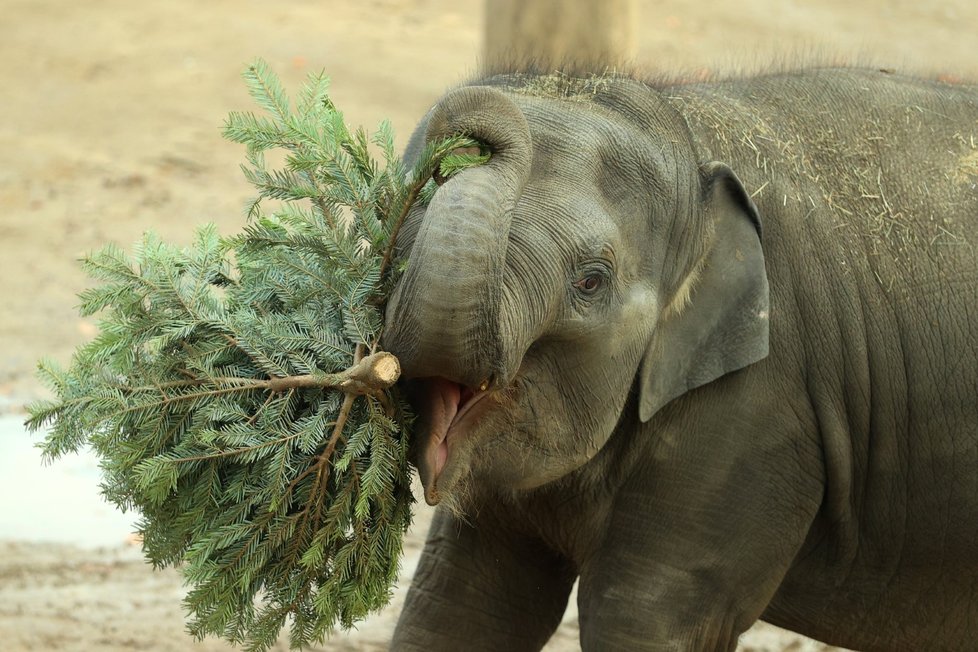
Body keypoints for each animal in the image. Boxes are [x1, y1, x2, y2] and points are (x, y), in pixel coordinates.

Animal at [380, 67, 976, 652]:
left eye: (590, 282)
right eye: (392, 240)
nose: (472, 131)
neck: (691, 142)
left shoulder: (756, 414)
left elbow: (641, 616)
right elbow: (461, 606)